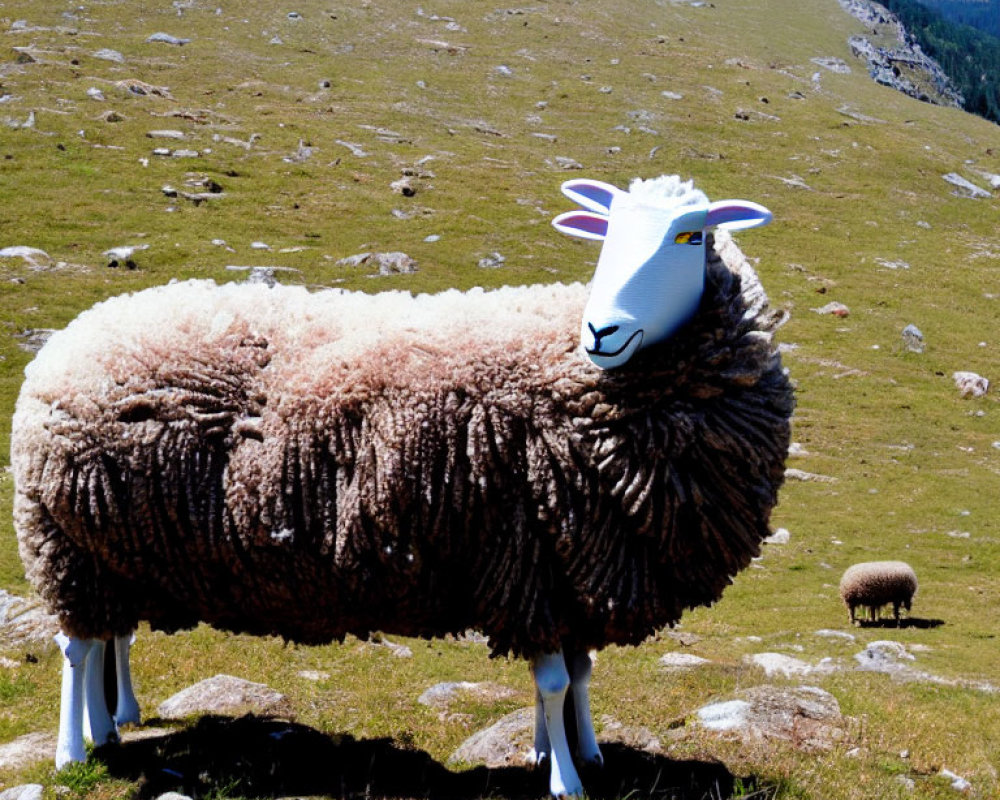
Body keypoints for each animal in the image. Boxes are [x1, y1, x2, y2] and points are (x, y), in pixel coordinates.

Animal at [7, 173, 788, 792]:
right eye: (605, 236)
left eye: (690, 235)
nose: (602, 331)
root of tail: (69, 340)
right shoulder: (526, 554)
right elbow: (554, 680)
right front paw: (564, 778)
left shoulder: (575, 562)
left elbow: (580, 675)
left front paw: (579, 752)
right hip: (63, 538)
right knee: (77, 650)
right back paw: (72, 751)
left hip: (111, 545)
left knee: (110, 637)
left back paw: (114, 725)